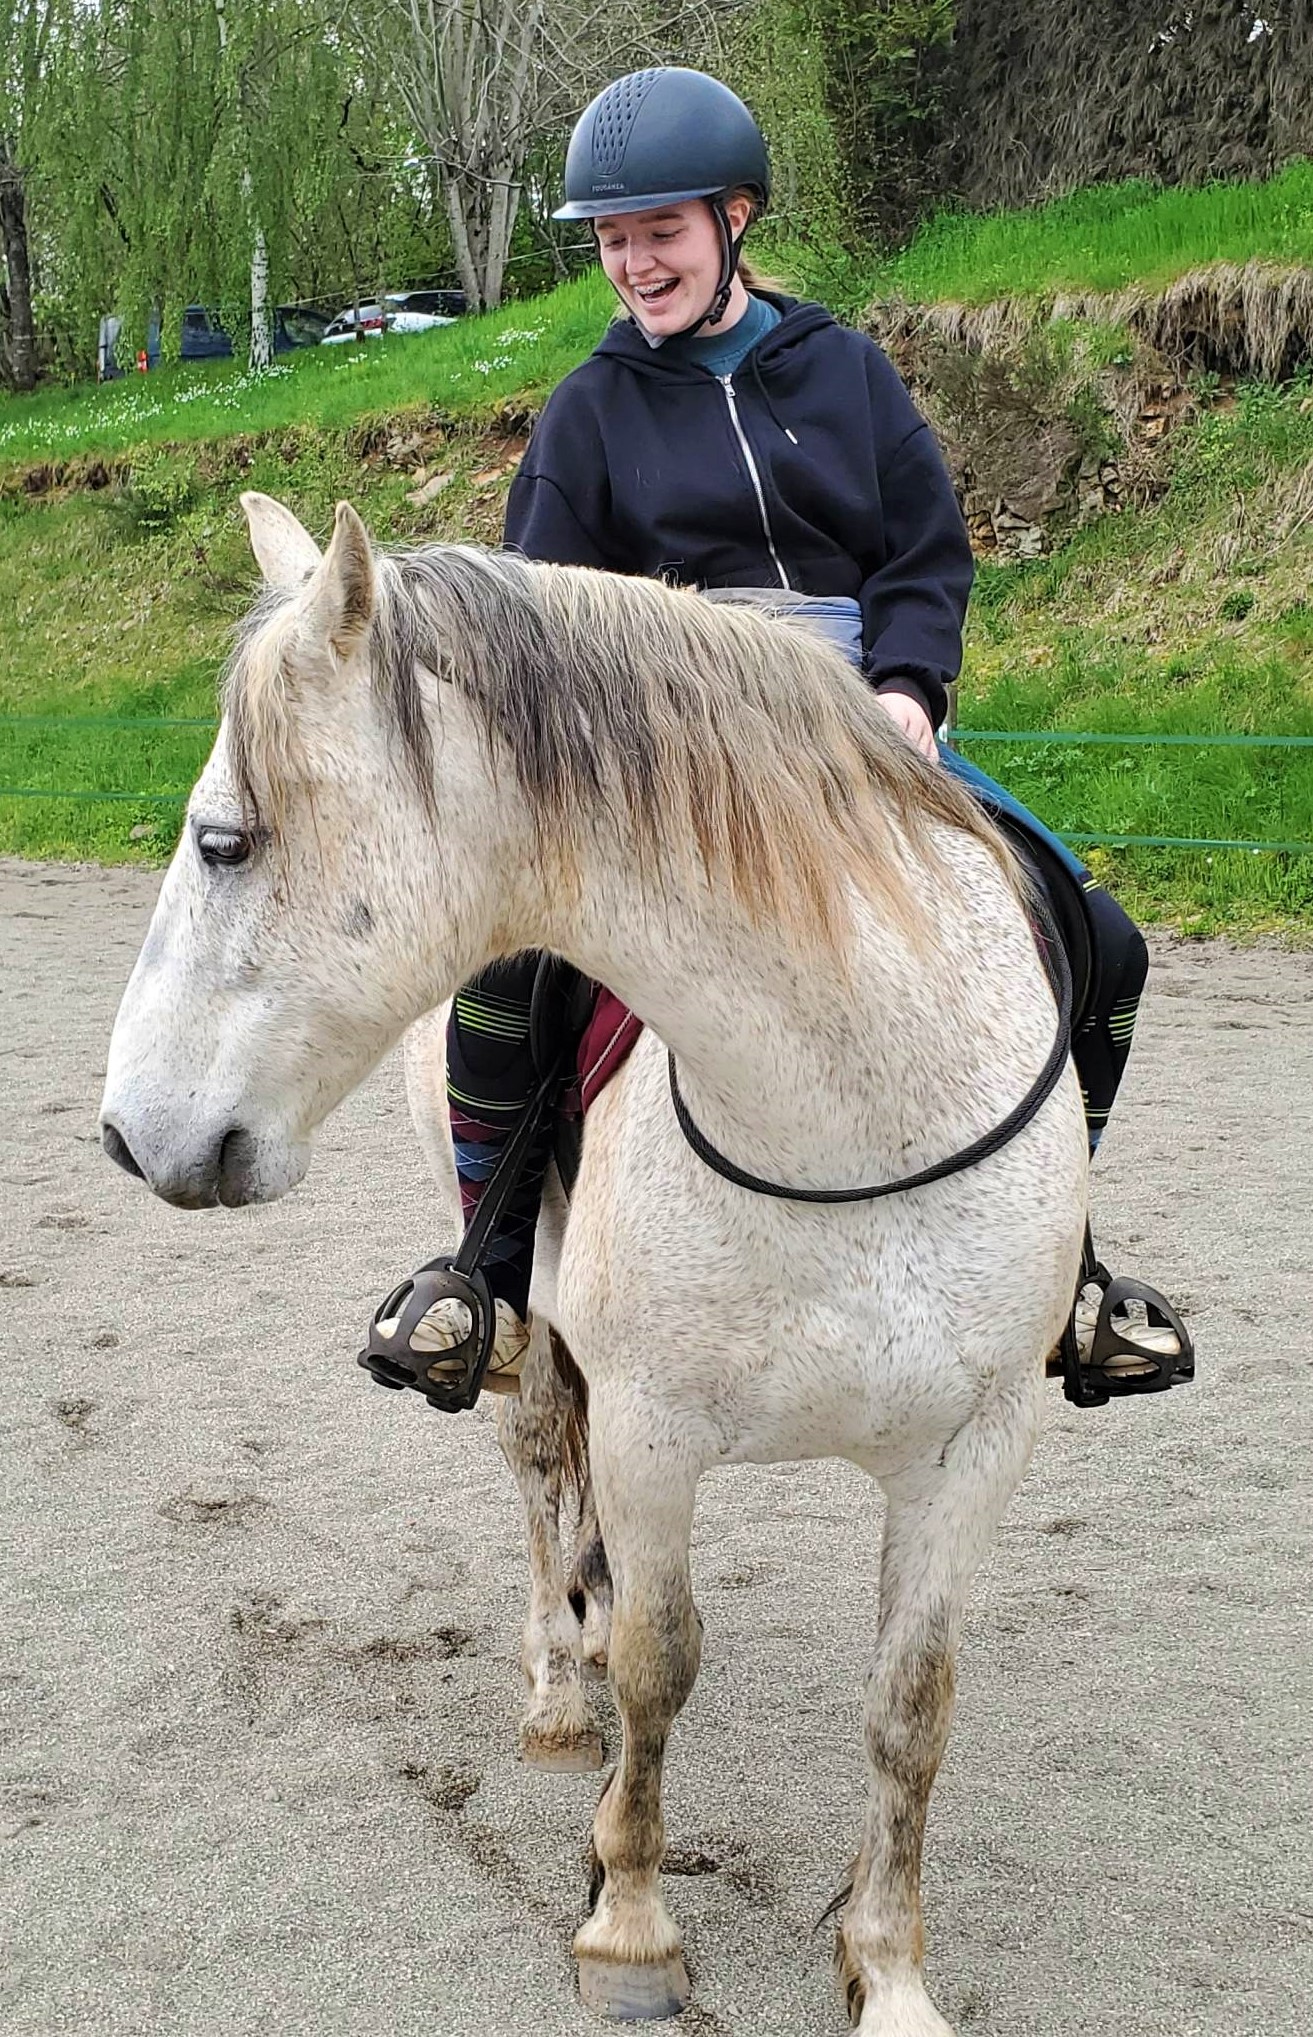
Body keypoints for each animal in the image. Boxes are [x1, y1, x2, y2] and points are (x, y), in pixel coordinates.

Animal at [102, 497, 1082, 2037]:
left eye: (223, 841)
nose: (129, 1133)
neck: (848, 1119)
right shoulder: (650, 1428)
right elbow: (660, 1665)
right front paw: (629, 1923)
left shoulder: (973, 1445)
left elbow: (909, 1707)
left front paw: (888, 1971)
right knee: (539, 1482)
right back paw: (563, 1692)